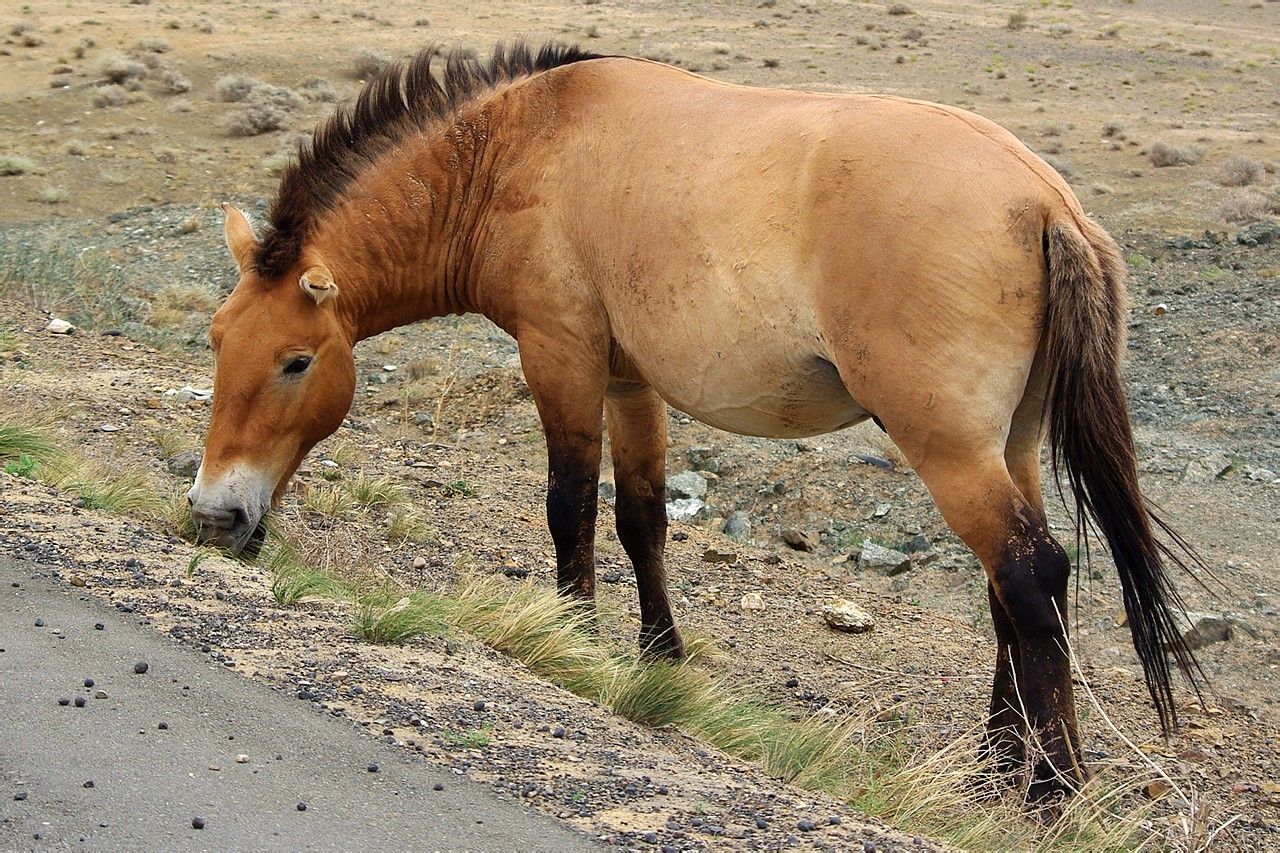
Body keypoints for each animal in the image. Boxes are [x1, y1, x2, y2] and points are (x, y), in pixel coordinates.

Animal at [188, 42, 1203, 802]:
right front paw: (660, 659)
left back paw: (1050, 787)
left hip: (949, 447)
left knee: (1031, 573)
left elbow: (569, 506)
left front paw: (571, 641)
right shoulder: (629, 381)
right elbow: (641, 517)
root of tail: (1043, 198)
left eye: (296, 361)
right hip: (1010, 444)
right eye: (216, 339)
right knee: (1015, 590)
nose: (213, 516)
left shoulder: (561, 358)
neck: (517, 147)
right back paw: (996, 765)